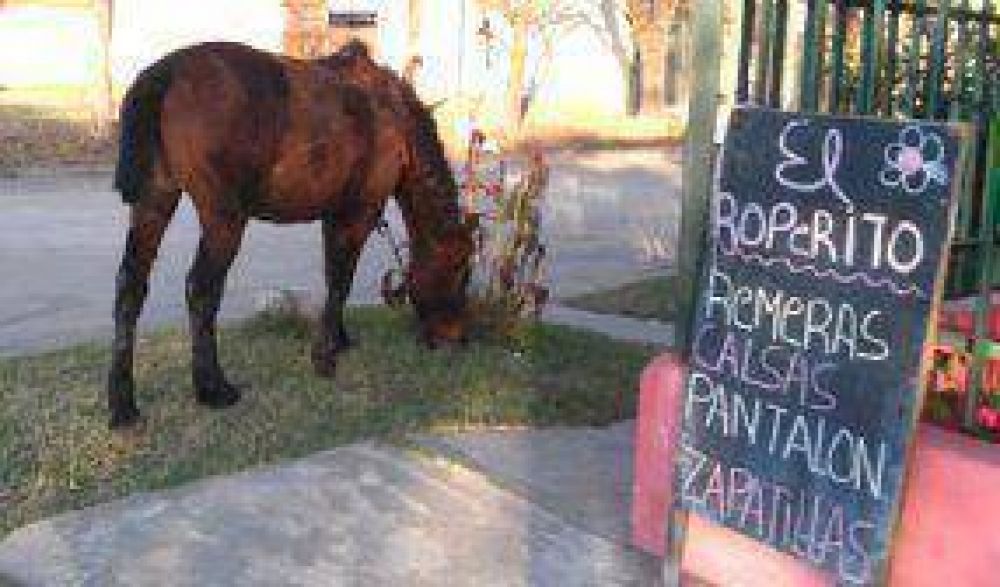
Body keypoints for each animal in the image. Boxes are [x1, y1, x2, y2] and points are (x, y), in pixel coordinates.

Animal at [108, 40, 473, 429]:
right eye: (460, 271)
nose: (457, 337)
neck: (396, 121)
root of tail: (167, 72)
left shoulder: (334, 213)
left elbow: (333, 278)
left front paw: (339, 339)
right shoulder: (360, 212)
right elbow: (341, 280)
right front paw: (325, 357)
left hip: (154, 198)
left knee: (131, 285)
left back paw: (123, 404)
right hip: (223, 218)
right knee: (201, 289)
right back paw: (213, 387)